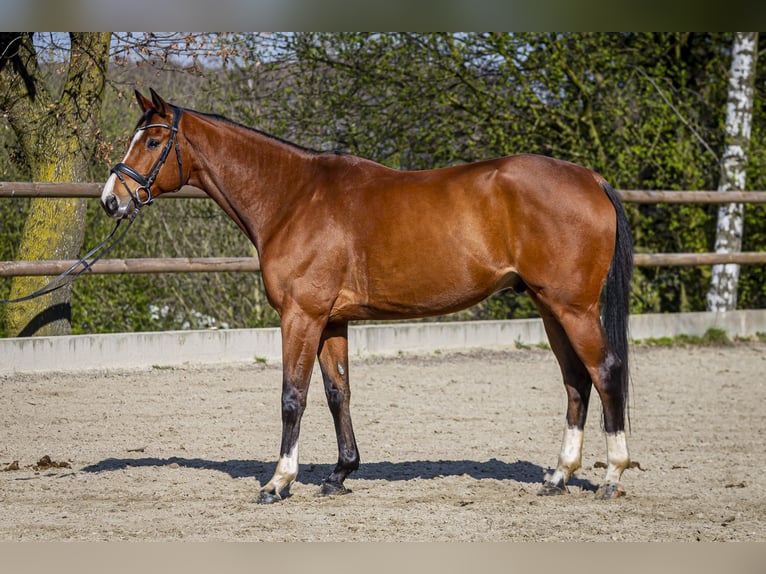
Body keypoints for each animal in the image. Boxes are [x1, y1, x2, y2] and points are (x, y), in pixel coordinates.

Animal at [99, 89, 632, 504]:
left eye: (152, 140)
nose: (110, 200)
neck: (294, 198)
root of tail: (591, 179)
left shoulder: (301, 316)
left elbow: (293, 396)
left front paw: (278, 482)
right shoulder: (332, 320)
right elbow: (339, 393)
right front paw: (340, 473)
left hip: (572, 308)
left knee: (604, 371)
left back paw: (612, 475)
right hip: (548, 306)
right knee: (575, 381)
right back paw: (558, 475)